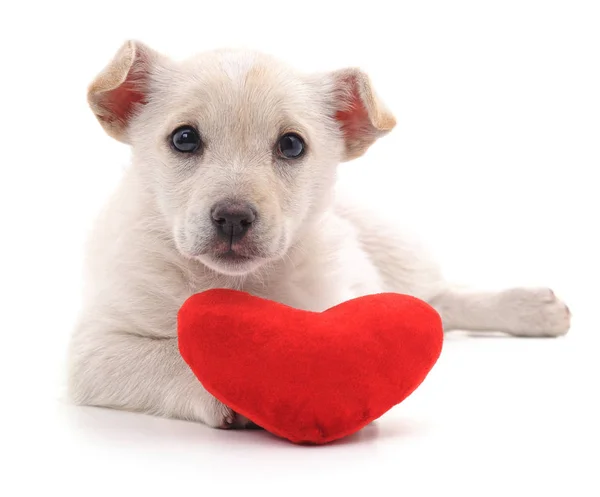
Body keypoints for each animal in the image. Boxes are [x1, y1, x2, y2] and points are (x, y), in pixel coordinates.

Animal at [68, 41, 568, 426]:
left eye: (291, 145)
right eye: (184, 138)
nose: (233, 217)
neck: (235, 282)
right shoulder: (95, 350)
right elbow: (170, 357)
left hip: (390, 244)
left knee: (438, 297)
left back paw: (530, 308)